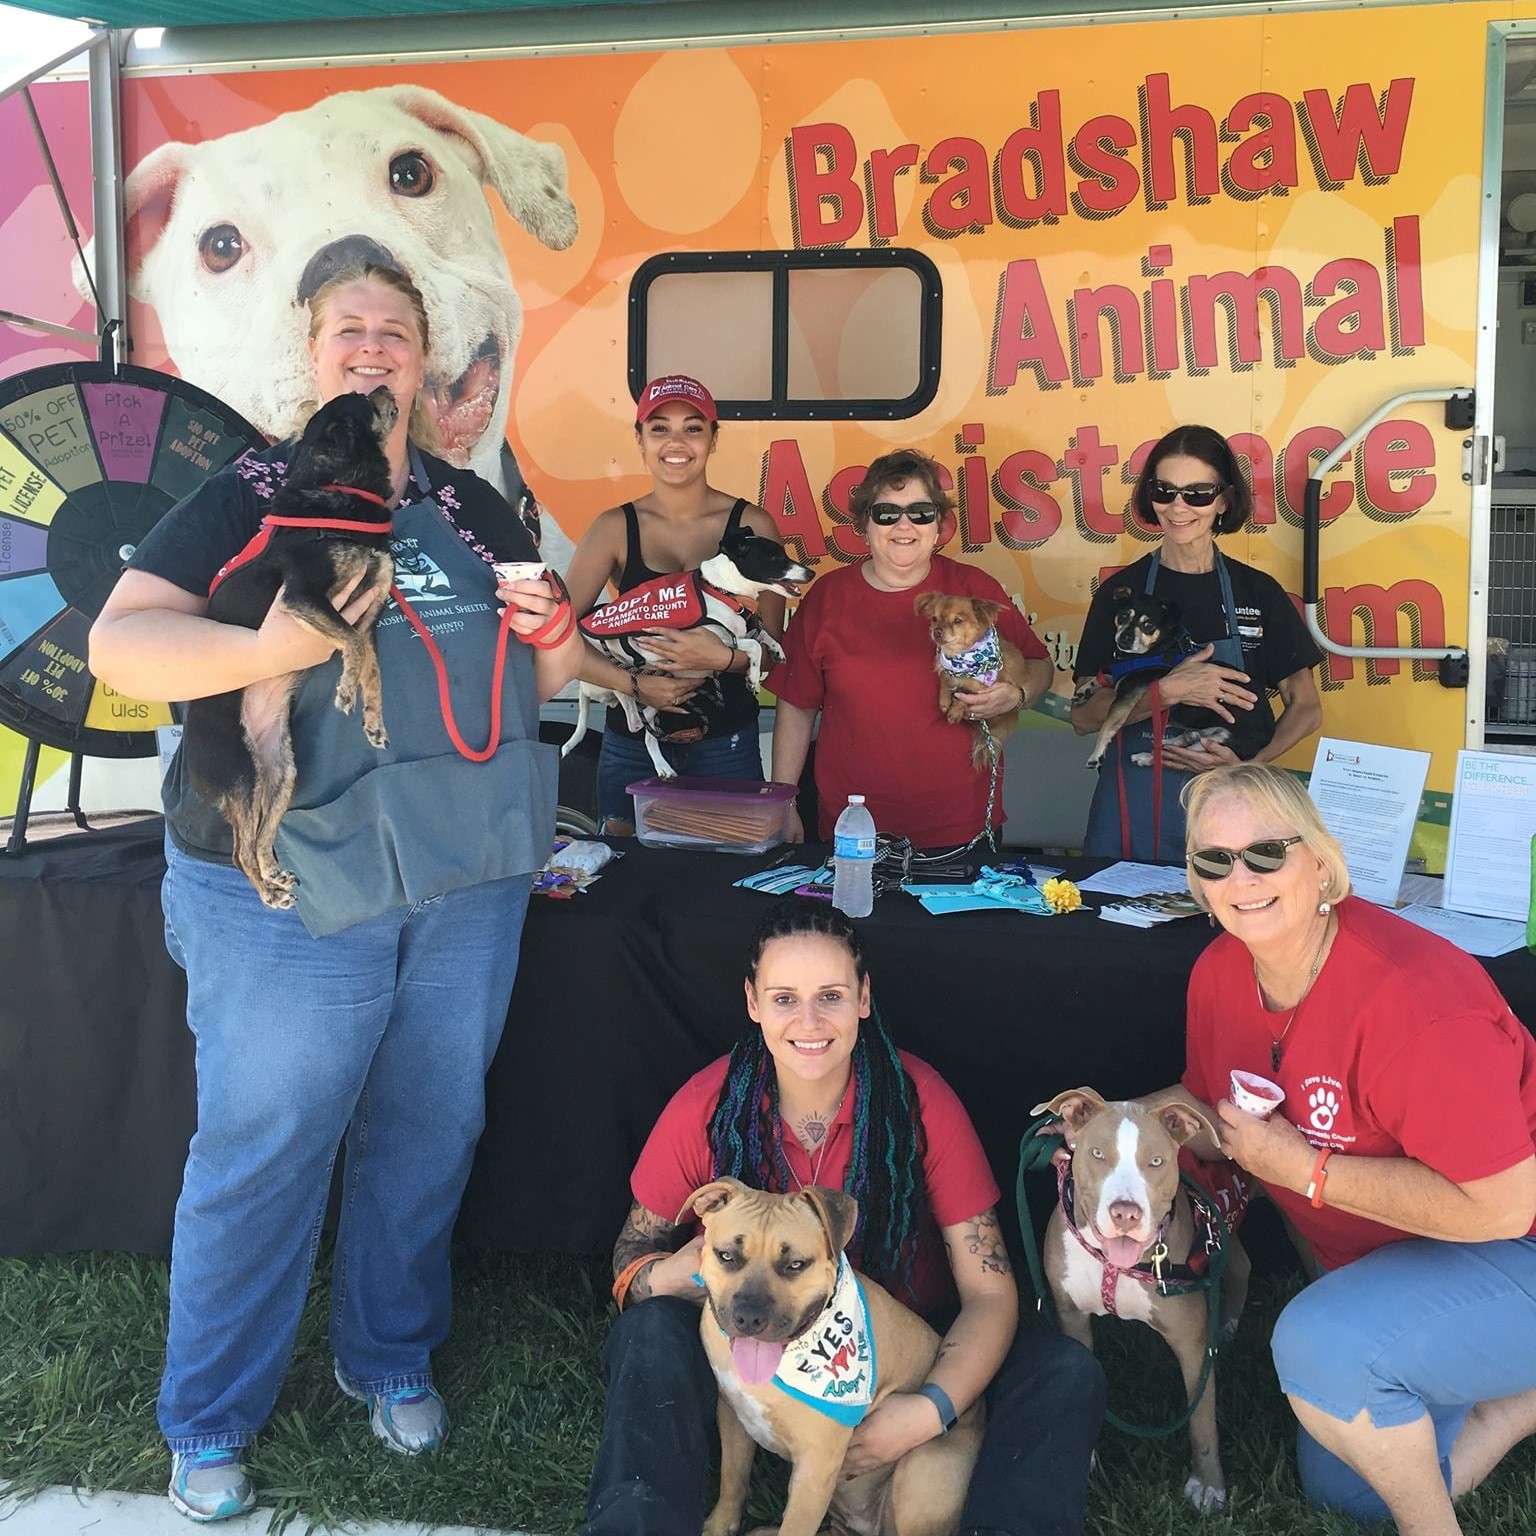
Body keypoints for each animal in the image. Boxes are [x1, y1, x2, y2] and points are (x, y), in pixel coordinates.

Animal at [183, 390, 402, 903]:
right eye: (365, 400)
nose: (385, 388)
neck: (339, 495)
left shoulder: (368, 615)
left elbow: (374, 668)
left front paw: (373, 720)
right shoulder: (304, 598)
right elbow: (351, 648)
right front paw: (345, 690)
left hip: (281, 774)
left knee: (264, 835)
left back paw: (275, 873)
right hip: (239, 775)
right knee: (240, 850)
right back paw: (268, 894)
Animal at [568, 525, 817, 780]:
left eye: (784, 554)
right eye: (774, 558)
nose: (811, 574)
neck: (723, 592)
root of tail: (584, 689)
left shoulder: (740, 632)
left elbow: (762, 634)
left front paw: (777, 650)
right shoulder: (714, 642)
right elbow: (753, 645)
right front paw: (753, 677)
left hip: (660, 701)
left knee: (644, 729)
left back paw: (663, 765)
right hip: (622, 680)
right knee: (633, 714)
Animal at [688, 1179, 976, 1529]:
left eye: (796, 1265)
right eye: (727, 1256)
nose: (749, 1318)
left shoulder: (814, 1471)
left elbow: (793, 1527)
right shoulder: (732, 1414)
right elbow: (733, 1479)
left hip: (919, 1478)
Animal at [1032, 1093, 1247, 1511]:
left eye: (1157, 1161)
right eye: (1098, 1153)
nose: (1125, 1212)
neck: (1115, 1265)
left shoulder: (1192, 1343)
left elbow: (1201, 1422)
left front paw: (1208, 1484)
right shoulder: (1072, 1318)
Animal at [1081, 580, 1234, 768]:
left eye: (1148, 626)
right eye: (1123, 616)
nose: (1125, 637)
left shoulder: (1128, 693)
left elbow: (1108, 725)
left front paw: (1097, 754)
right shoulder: (1123, 678)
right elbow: (1105, 677)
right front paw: (1084, 690)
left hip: (1218, 741)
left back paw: (1147, 756)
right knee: (1186, 741)